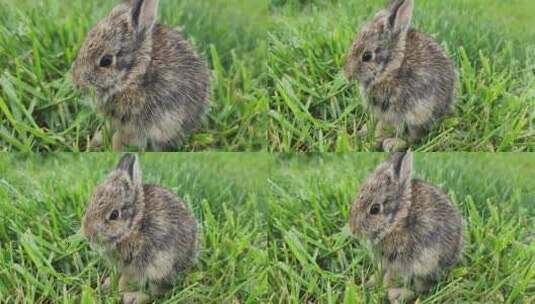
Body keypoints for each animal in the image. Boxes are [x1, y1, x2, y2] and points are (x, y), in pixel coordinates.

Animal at [82, 156, 200, 302]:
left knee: (157, 293)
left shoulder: (139, 263)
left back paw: (135, 298)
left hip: (162, 268)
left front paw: (119, 290)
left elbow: (127, 279)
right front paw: (108, 284)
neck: (134, 226)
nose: (87, 233)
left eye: (114, 215)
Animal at [348, 0, 456, 152]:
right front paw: (361, 133)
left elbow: (383, 127)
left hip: (420, 114)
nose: (347, 74)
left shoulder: (393, 110)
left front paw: (372, 142)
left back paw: (392, 144)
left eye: (367, 56)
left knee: (414, 137)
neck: (390, 70)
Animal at [350, 152, 462, 304]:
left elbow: (390, 277)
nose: (352, 229)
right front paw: (370, 284)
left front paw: (381, 290)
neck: (396, 223)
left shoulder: (402, 261)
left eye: (375, 209)